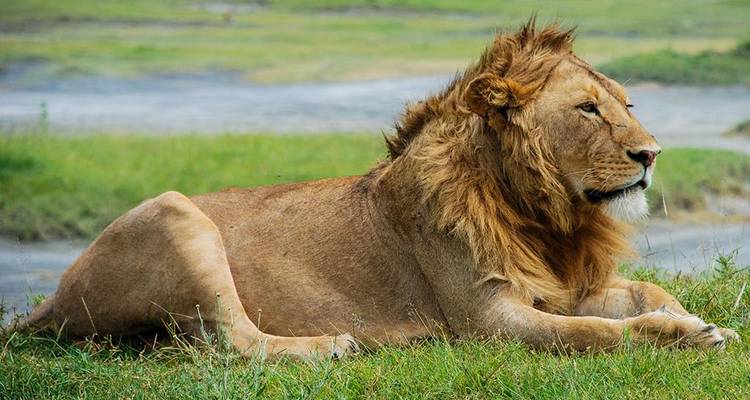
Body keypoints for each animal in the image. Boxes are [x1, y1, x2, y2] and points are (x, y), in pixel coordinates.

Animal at [17, 22, 738, 359]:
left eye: (627, 104)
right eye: (588, 110)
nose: (651, 154)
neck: (540, 214)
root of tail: (52, 298)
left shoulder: (565, 285)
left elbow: (646, 293)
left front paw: (698, 319)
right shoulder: (488, 320)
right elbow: (597, 333)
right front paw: (687, 337)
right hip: (172, 212)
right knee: (236, 340)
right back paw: (332, 346)